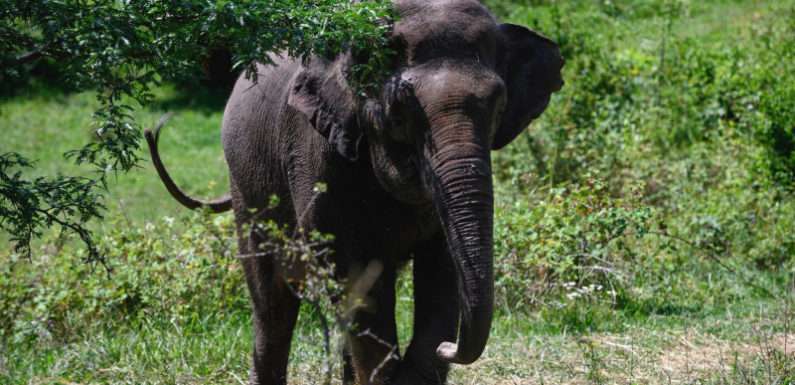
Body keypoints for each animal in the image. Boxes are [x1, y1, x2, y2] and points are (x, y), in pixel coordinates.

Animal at [145, 1, 564, 382]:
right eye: (399, 113)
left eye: (499, 106)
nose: (451, 347)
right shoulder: (316, 151)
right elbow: (356, 275)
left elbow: (442, 271)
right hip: (246, 185)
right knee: (272, 302)